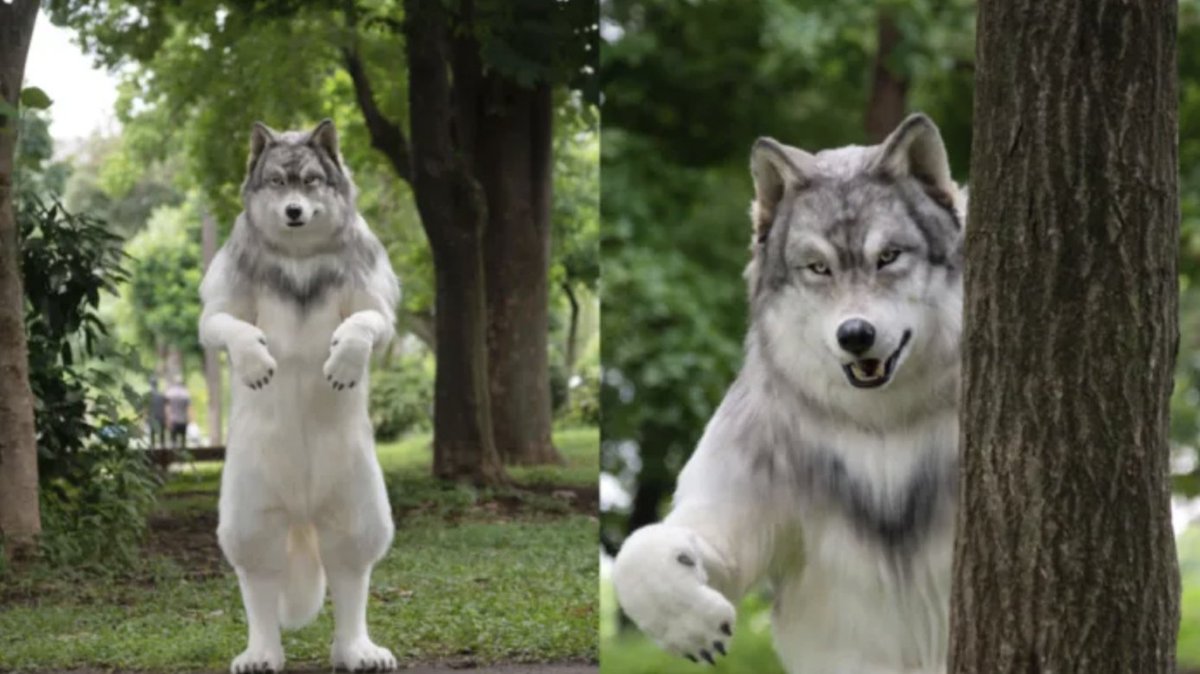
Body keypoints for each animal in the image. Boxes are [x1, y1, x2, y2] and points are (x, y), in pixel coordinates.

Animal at [199, 119, 401, 673]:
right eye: (276, 182)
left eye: (311, 181)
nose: (293, 211)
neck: (299, 256)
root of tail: (303, 510)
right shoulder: (224, 299)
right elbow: (224, 324)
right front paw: (253, 359)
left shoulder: (372, 297)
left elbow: (366, 322)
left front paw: (345, 358)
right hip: (250, 508)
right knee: (260, 575)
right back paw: (262, 651)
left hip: (356, 498)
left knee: (349, 567)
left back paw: (355, 649)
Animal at [612, 114, 965, 674]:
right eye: (818, 268)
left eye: (888, 257)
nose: (855, 334)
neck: (881, 425)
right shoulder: (725, 538)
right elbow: (638, 549)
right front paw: (692, 627)